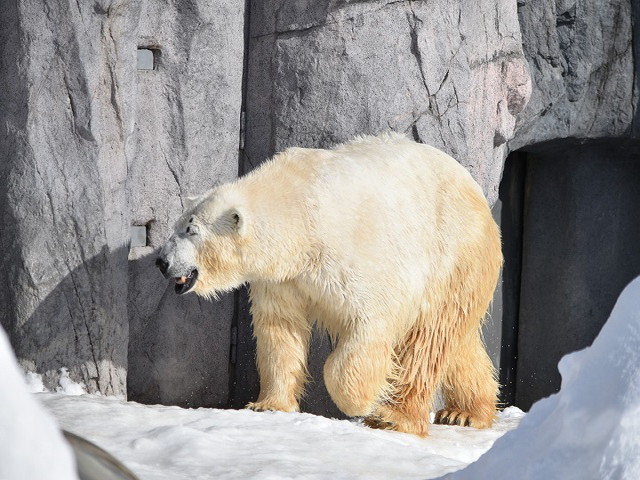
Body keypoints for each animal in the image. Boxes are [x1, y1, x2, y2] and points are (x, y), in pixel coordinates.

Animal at [158, 133, 502, 436]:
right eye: (178, 224)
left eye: (191, 230)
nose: (161, 261)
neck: (302, 211)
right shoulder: (284, 279)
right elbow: (279, 330)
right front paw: (268, 404)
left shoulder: (355, 255)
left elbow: (370, 322)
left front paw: (363, 400)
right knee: (455, 340)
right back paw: (465, 413)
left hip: (453, 254)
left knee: (428, 339)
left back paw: (394, 417)